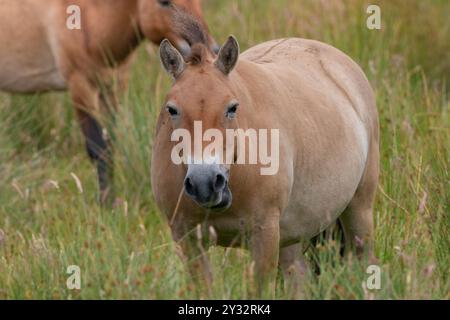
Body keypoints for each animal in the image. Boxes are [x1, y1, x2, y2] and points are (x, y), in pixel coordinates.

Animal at [0, 0, 218, 202]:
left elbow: (111, 143)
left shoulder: (113, 90)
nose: (211, 49)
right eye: (163, 2)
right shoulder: (81, 89)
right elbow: (98, 149)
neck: (92, 20)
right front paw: (105, 204)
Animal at [152, 29, 380, 296]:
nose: (204, 183)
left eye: (232, 108)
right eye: (172, 109)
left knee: (363, 259)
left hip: (359, 211)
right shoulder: (187, 238)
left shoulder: (264, 235)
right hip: (291, 236)